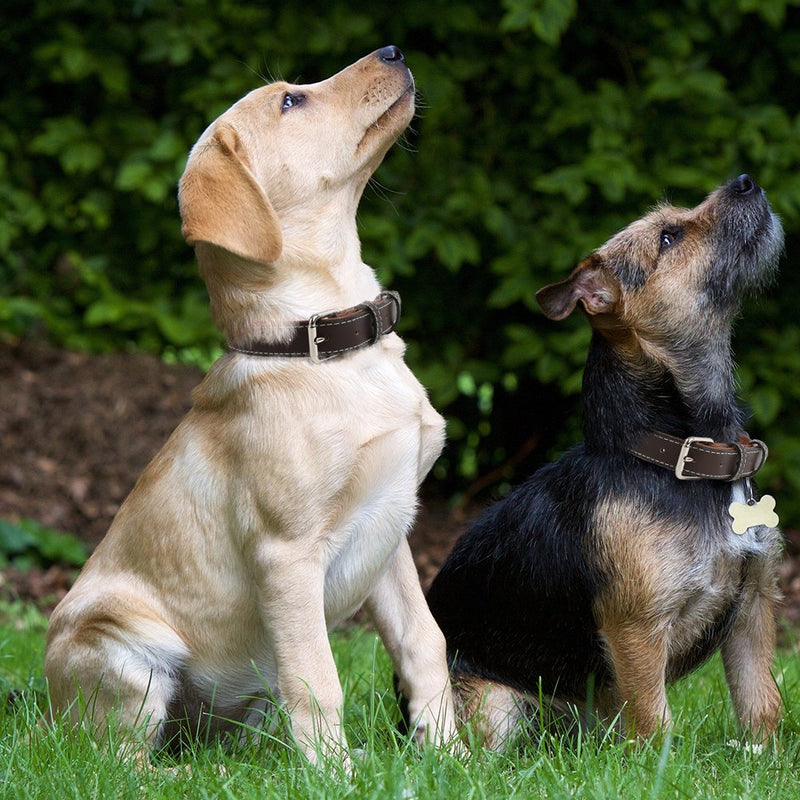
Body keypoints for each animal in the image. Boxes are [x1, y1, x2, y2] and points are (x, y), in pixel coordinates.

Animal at [45, 47, 456, 764]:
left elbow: (423, 644)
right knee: (121, 760)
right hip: (124, 650)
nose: (394, 51)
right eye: (291, 101)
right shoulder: (285, 554)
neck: (322, 342)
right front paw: (336, 775)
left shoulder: (392, 527)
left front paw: (454, 757)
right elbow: (319, 680)